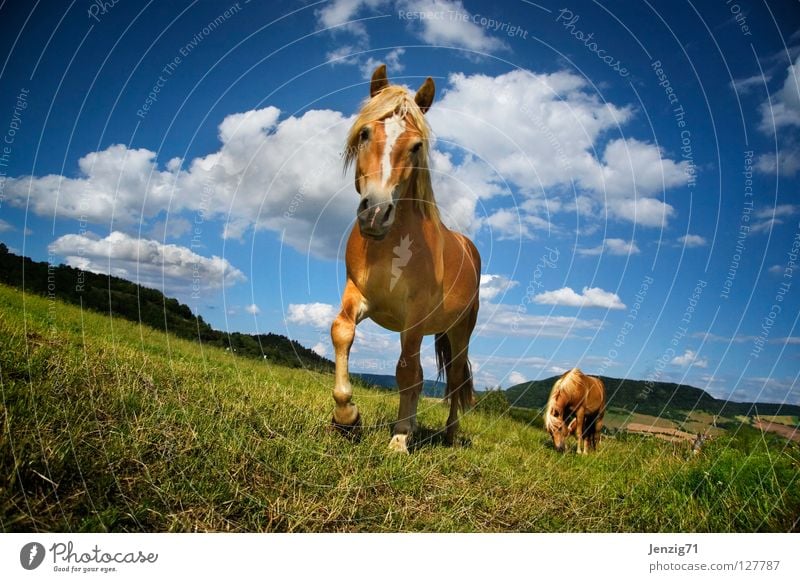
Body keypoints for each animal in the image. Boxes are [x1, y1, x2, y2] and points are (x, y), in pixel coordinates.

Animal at [326, 65, 478, 456]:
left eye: (416, 145)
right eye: (366, 133)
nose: (376, 213)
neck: (392, 245)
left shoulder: (415, 317)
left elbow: (408, 373)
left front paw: (399, 439)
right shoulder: (360, 295)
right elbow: (342, 332)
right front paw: (347, 416)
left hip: (459, 331)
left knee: (455, 378)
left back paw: (449, 434)